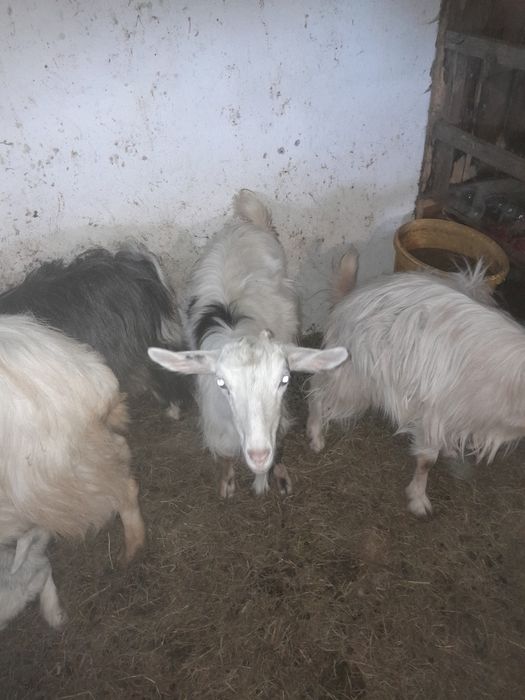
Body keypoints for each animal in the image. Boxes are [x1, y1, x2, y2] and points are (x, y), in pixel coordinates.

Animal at [149, 189, 347, 497]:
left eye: (284, 380)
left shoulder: (278, 421)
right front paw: (228, 481)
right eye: (223, 384)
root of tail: (248, 225)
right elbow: (225, 453)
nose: (258, 455)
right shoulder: (217, 423)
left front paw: (272, 478)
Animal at [307, 251, 525, 516]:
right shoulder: (435, 411)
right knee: (318, 390)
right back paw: (315, 434)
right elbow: (426, 461)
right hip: (353, 379)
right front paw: (418, 498)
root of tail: (348, 298)